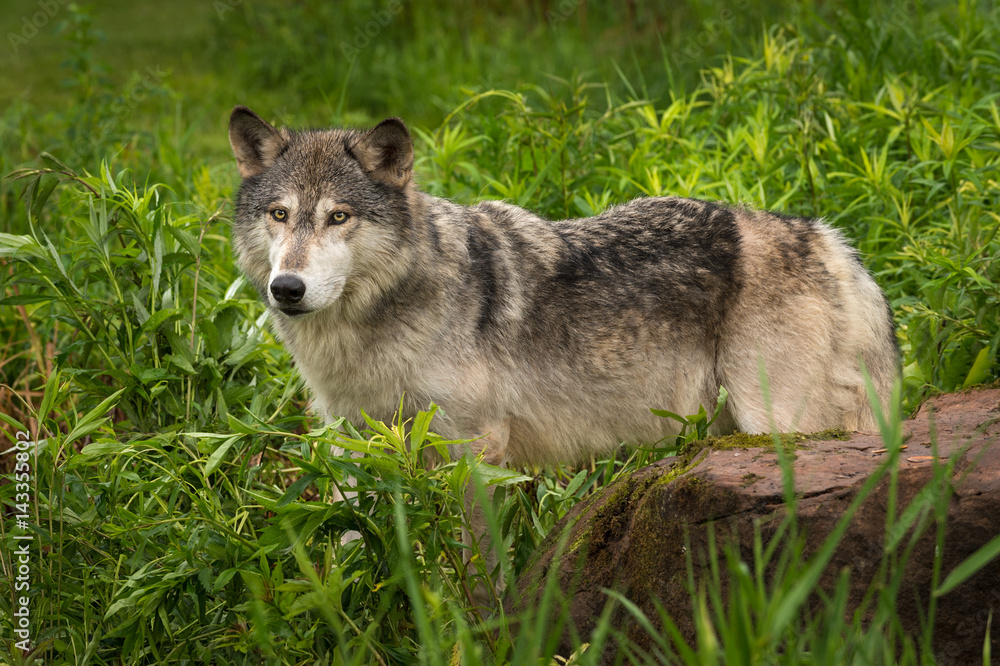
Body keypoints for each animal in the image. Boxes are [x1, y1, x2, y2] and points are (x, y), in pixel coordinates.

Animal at [228, 106, 898, 599]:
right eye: (280, 214)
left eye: (339, 217)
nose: (287, 288)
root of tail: (827, 238)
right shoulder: (354, 447)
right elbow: (347, 540)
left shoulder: (477, 453)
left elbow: (478, 566)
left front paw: (476, 628)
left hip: (776, 429)